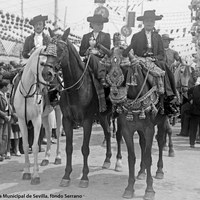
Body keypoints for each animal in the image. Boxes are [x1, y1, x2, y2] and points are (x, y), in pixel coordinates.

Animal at [13, 45, 58, 184]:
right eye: (42, 62)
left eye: (52, 61)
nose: (51, 75)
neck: (27, 93)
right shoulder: (21, 120)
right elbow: (26, 145)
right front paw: (27, 172)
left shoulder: (36, 120)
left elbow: (35, 147)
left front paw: (36, 175)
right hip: (46, 115)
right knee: (48, 132)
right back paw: (46, 158)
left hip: (57, 112)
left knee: (58, 132)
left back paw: (57, 157)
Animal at [48, 28, 122, 189]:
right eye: (46, 48)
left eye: (61, 49)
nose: (47, 73)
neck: (76, 89)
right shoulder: (67, 121)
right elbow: (69, 148)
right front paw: (66, 176)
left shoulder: (87, 121)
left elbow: (85, 148)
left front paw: (84, 177)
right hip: (102, 116)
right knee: (108, 133)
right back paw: (107, 160)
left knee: (119, 136)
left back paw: (118, 162)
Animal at [104, 47, 172, 200]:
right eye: (108, 66)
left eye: (125, 66)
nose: (115, 94)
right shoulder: (127, 130)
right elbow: (132, 157)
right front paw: (129, 188)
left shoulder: (149, 129)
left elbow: (147, 157)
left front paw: (149, 190)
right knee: (142, 143)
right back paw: (141, 172)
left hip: (162, 121)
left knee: (160, 141)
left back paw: (159, 170)